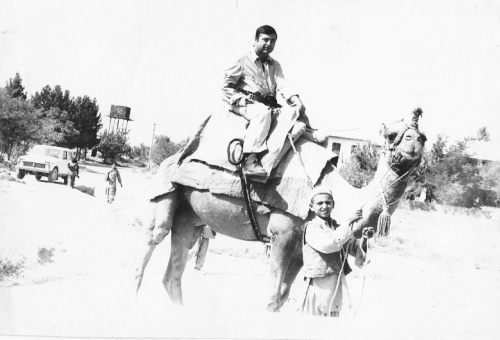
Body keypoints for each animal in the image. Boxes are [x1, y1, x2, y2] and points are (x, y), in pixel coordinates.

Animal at [133, 108, 426, 310]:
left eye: (423, 135)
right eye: (393, 135)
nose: (415, 141)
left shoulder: (300, 248)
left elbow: (283, 295)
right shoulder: (282, 234)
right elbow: (272, 295)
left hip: (190, 218)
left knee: (174, 269)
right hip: (167, 188)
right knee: (152, 239)